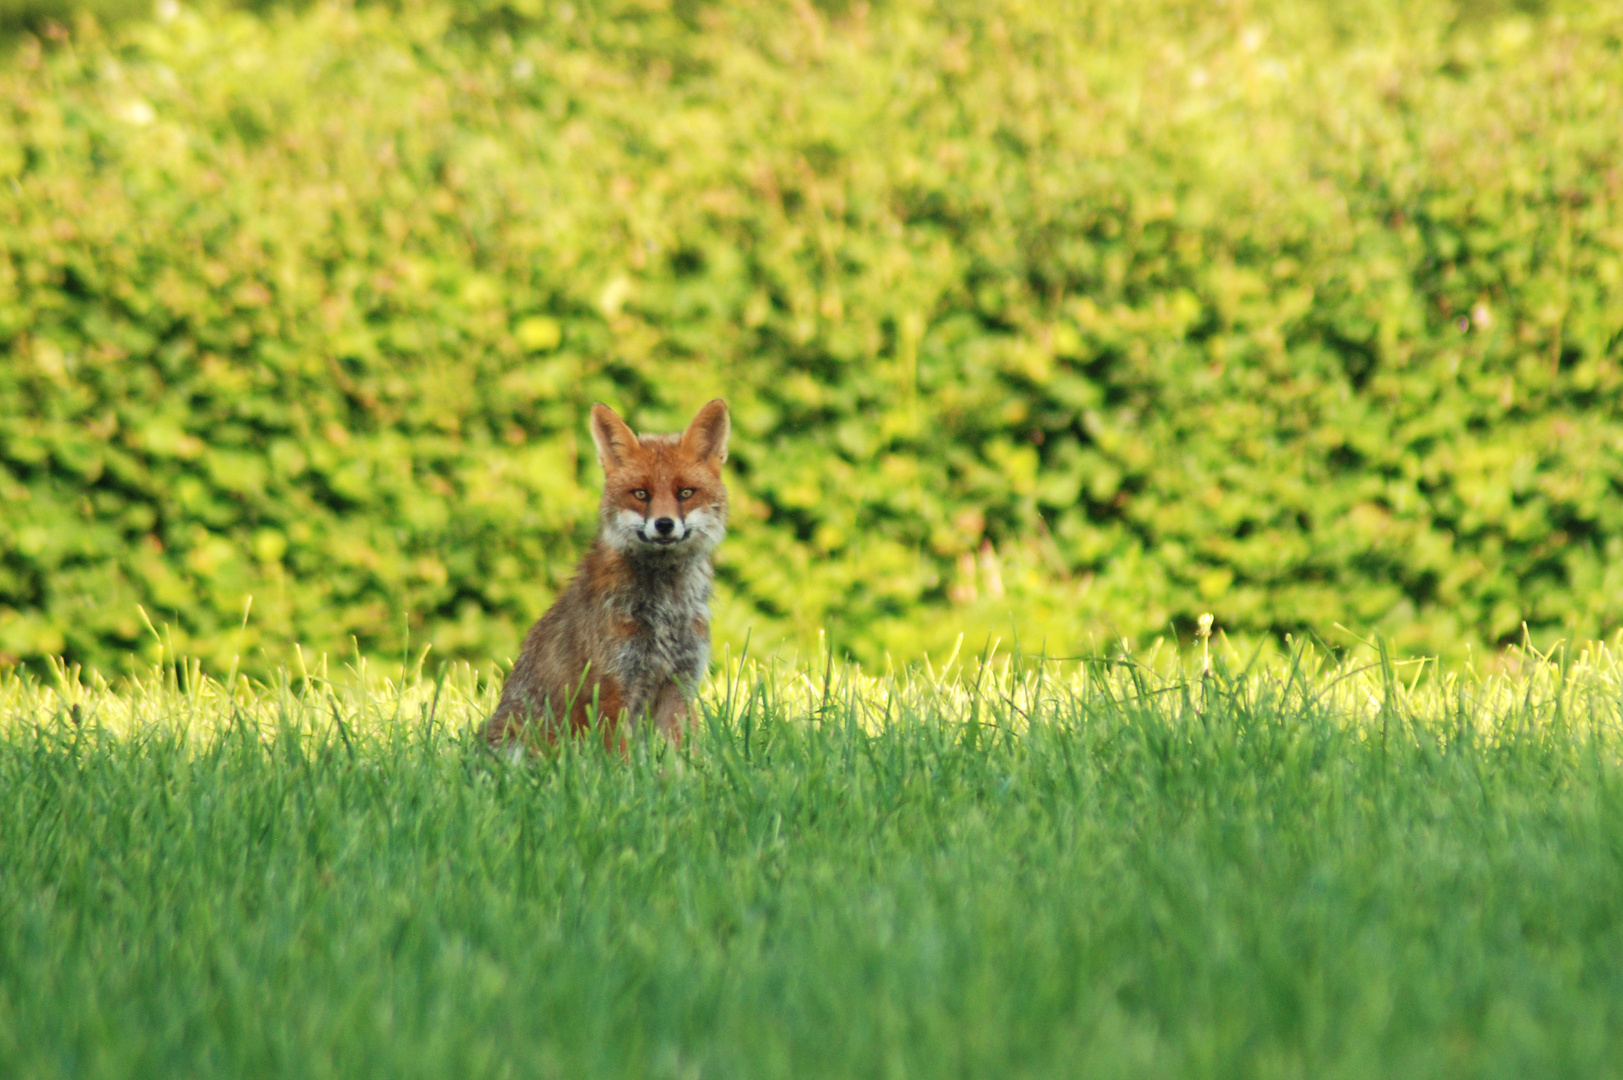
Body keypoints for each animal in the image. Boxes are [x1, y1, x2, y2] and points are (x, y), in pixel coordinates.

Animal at [483, 396, 733, 750]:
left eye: (686, 493)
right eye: (640, 494)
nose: (664, 524)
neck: (666, 611)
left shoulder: (680, 685)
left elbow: (681, 756)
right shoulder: (612, 687)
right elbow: (620, 757)